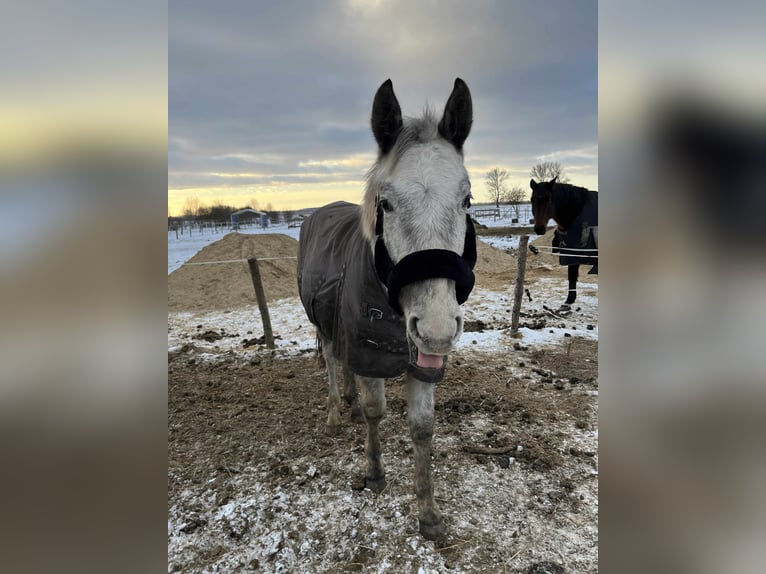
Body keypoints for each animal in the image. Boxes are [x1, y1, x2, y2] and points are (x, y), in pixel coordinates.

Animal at [297, 78, 476, 540]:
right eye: (387, 204)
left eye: (467, 200)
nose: (436, 329)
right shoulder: (369, 350)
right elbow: (376, 411)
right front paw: (375, 473)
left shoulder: (423, 362)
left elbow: (422, 428)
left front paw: (428, 512)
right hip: (324, 326)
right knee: (332, 360)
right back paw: (336, 413)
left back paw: (348, 401)